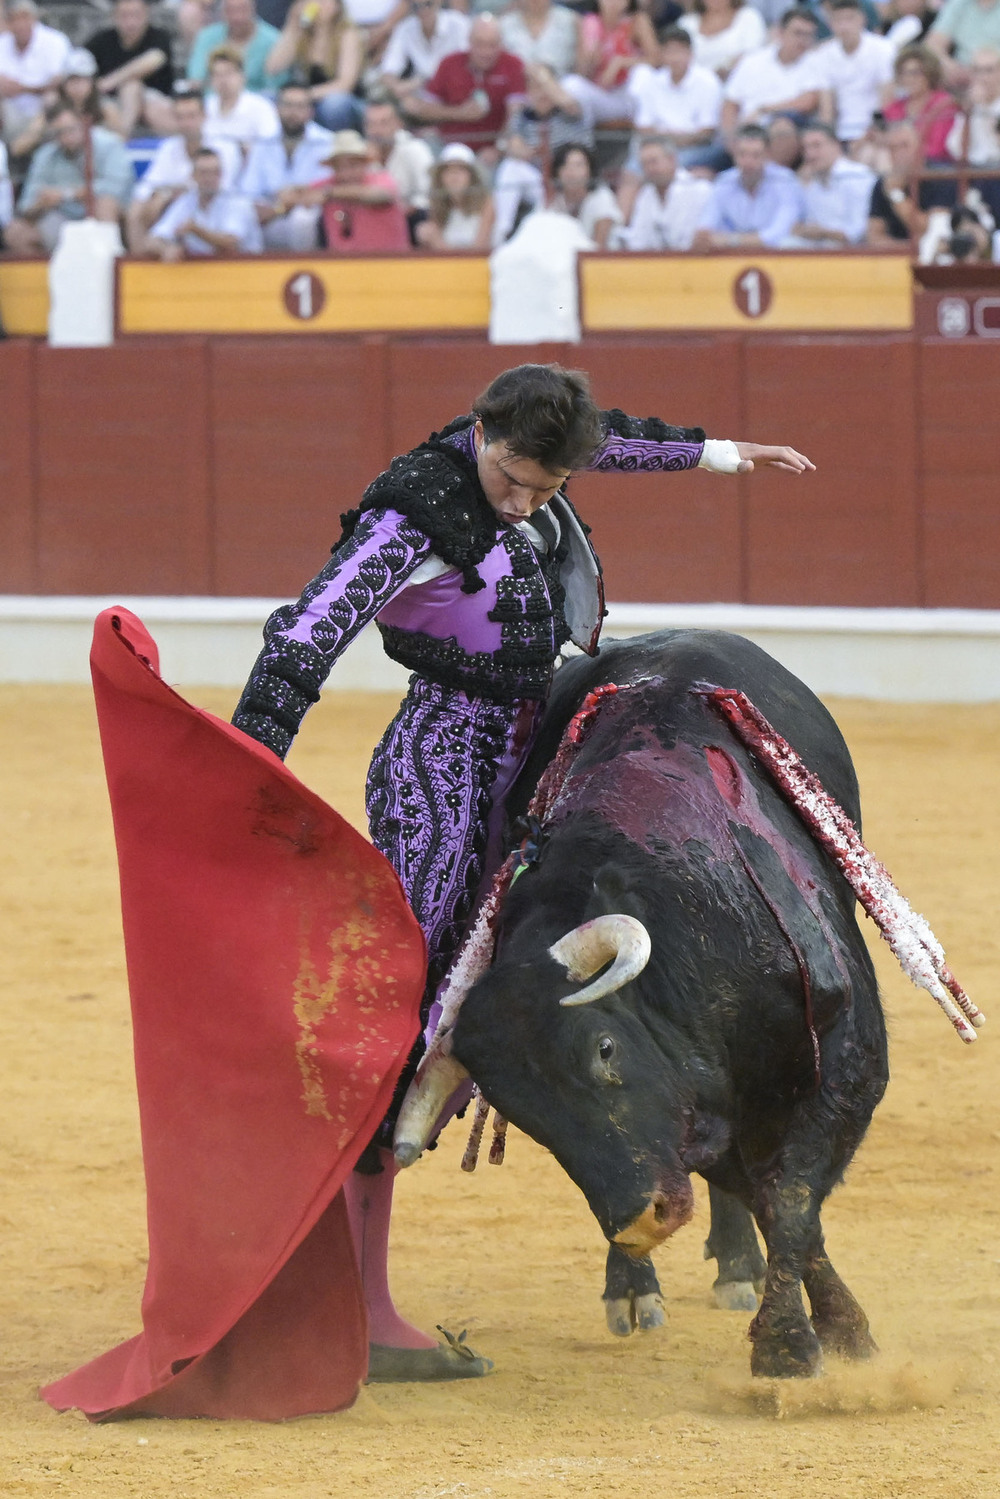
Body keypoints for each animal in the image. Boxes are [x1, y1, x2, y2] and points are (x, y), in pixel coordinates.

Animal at [398, 626, 893, 1373]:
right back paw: (640, 1287)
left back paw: (737, 1271)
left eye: (604, 1048)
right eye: (527, 1115)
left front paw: (806, 1340)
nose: (637, 1222)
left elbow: (791, 1195)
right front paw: (808, 1331)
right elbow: (773, 1197)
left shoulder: (848, 1057)